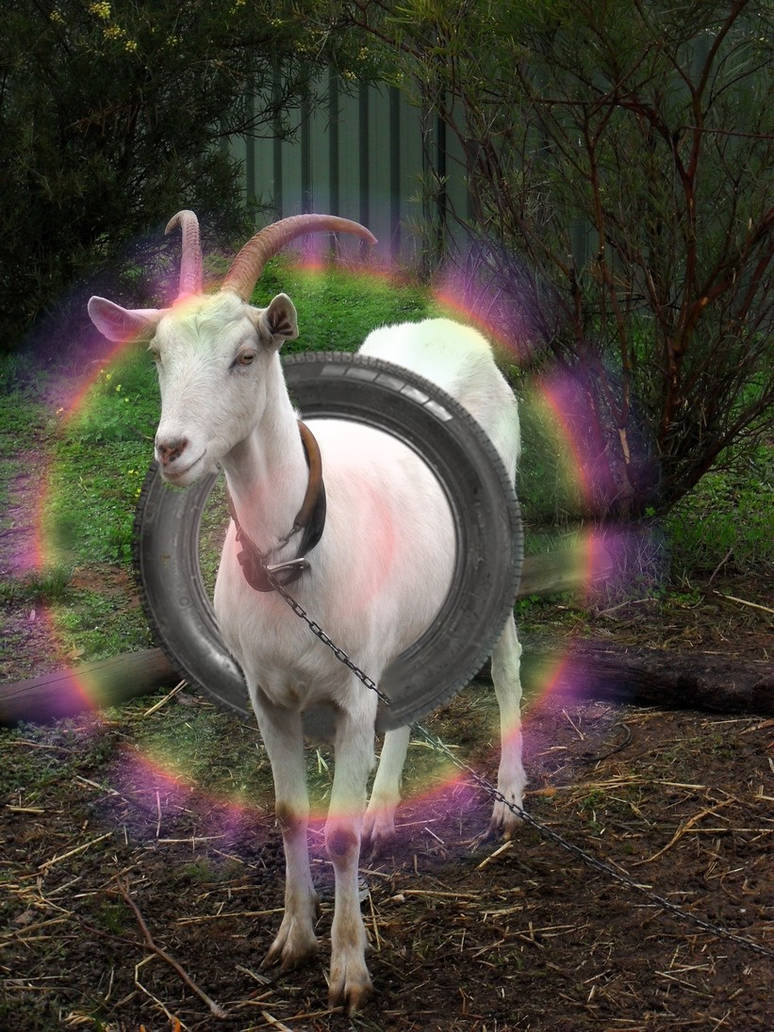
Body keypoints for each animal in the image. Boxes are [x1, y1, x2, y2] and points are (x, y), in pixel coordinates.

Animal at [88, 211, 525, 1013]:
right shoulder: (269, 695)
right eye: (158, 353)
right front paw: (292, 939)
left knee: (506, 661)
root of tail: (450, 327)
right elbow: (291, 814)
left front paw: (350, 971)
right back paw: (385, 809)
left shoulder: (348, 694)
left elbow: (338, 834)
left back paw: (509, 803)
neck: (294, 561)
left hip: (501, 535)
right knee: (406, 698)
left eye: (246, 354)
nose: (173, 449)